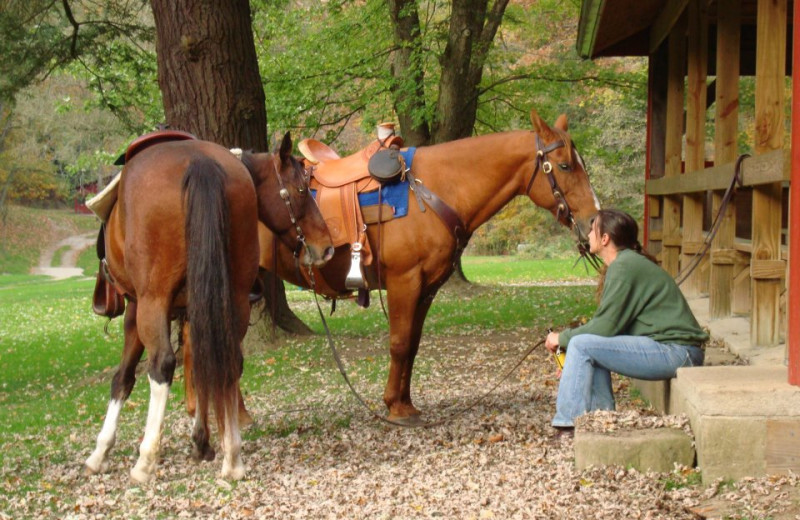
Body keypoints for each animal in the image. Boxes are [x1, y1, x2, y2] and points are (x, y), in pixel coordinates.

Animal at [82, 132, 332, 482]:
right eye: (299, 190)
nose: (326, 247)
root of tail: (200, 162)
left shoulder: (136, 308)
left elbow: (125, 377)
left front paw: (101, 451)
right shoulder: (195, 308)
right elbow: (200, 366)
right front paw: (202, 441)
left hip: (152, 302)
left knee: (162, 365)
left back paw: (146, 460)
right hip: (235, 299)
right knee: (230, 362)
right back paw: (233, 458)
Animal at [188, 107, 600, 424]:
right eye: (565, 165)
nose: (595, 219)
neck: (434, 189)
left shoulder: (427, 288)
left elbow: (413, 345)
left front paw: (405, 402)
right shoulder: (406, 281)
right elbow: (400, 344)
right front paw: (395, 408)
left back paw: (197, 408)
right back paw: (237, 415)